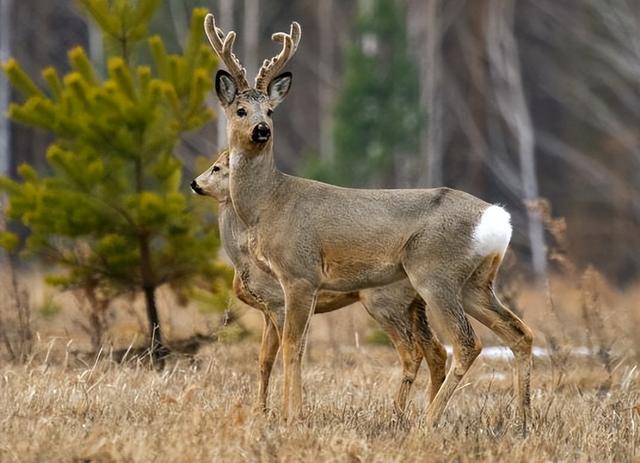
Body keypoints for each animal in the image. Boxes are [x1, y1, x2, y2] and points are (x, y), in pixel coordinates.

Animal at [192, 151, 448, 414]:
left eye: (217, 168)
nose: (194, 183)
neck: (243, 258)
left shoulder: (278, 303)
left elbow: (285, 353)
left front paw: (281, 410)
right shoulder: (267, 311)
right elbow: (264, 360)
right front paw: (260, 409)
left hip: (384, 301)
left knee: (413, 352)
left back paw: (398, 411)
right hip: (415, 305)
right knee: (437, 351)